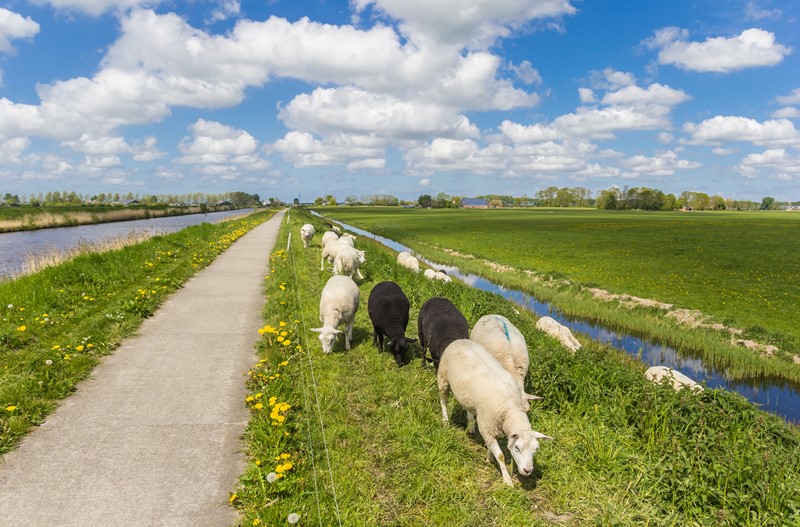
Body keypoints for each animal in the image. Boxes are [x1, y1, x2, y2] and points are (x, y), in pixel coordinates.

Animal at [434, 340, 552, 488]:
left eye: (536, 449)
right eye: (517, 448)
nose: (527, 470)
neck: (510, 409)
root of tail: (460, 340)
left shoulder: (491, 428)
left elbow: (492, 446)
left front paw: (489, 457)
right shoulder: (487, 425)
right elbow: (500, 455)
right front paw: (507, 480)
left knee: (467, 406)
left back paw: (471, 425)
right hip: (443, 376)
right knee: (443, 400)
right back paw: (445, 420)